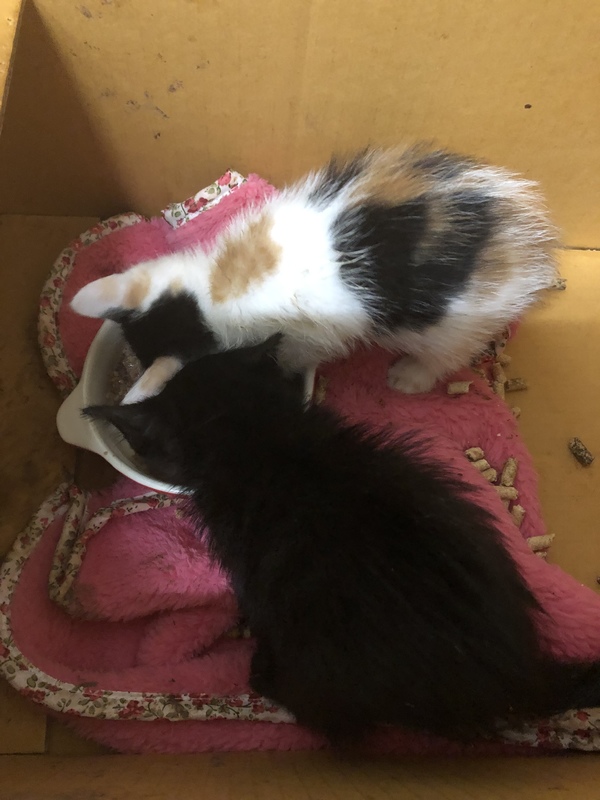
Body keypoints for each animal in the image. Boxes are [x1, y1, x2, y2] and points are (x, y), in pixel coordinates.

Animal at [71, 143, 558, 403]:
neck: (215, 288)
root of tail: (528, 247)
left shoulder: (307, 335)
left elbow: (295, 354)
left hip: (454, 321)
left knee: (448, 351)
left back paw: (409, 377)